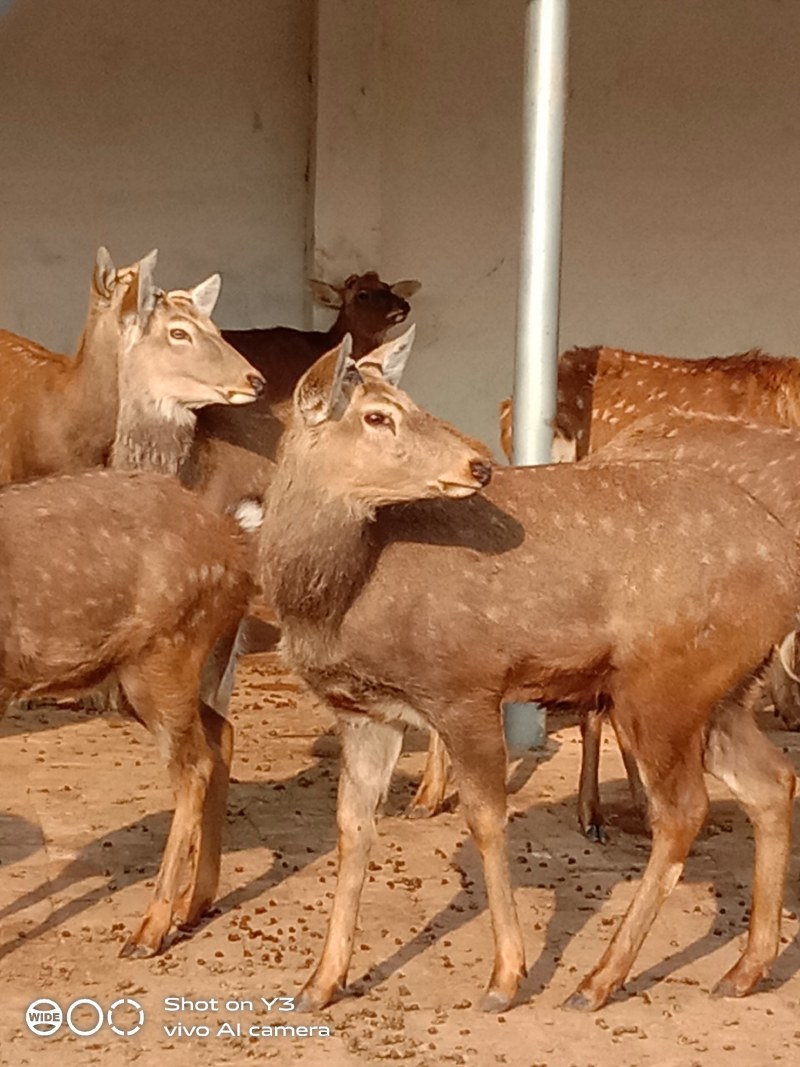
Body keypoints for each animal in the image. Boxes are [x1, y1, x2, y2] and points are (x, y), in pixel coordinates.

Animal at [257, 329, 798, 1013]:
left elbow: (487, 822)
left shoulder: (464, 684)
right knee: (771, 783)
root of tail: (784, 564)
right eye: (377, 415)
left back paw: (597, 981)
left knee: (684, 810)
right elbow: (353, 829)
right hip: (721, 688)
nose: (478, 464)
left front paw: (505, 976)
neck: (336, 602)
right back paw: (744, 968)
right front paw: (320, 983)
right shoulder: (364, 711)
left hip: (662, 683)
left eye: (409, 401)